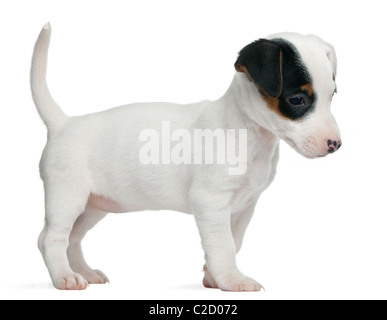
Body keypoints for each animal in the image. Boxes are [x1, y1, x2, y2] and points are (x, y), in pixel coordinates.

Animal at [30, 23, 342, 292]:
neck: (244, 132)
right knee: (51, 238)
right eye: (297, 100)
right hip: (68, 198)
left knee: (72, 238)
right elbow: (224, 246)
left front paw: (214, 278)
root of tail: (63, 124)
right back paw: (65, 277)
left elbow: (234, 241)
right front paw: (232, 281)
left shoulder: (244, 208)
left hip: (92, 207)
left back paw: (84, 272)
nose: (335, 145)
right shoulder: (211, 203)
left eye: (332, 96)